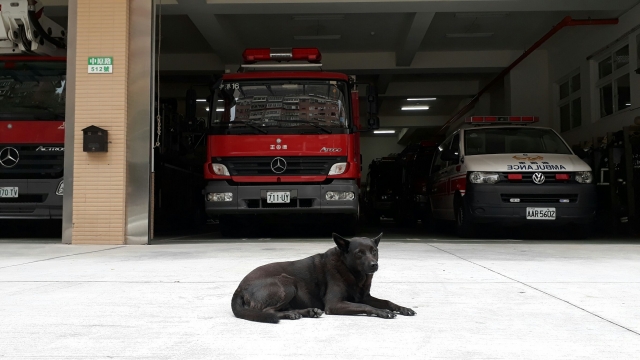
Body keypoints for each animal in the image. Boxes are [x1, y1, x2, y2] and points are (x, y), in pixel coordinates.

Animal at [230, 233, 416, 324]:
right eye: (359, 253)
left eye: (374, 251)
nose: (374, 265)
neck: (352, 273)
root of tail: (239, 288)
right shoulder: (335, 304)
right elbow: (365, 306)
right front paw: (382, 312)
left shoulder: (365, 296)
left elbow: (386, 301)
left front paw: (403, 308)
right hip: (287, 283)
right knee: (268, 311)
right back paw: (292, 314)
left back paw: (307, 312)